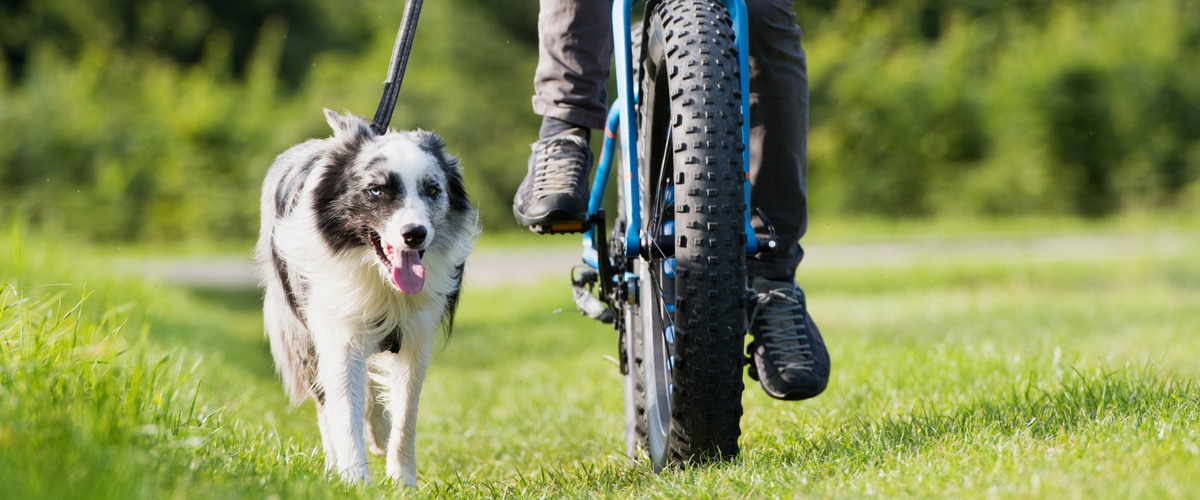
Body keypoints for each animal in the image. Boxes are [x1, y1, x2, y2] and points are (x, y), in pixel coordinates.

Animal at [254, 109, 477, 484]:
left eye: (432, 189)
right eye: (376, 190)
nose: (415, 234)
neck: (380, 278)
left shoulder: (415, 338)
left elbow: (406, 415)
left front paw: (403, 482)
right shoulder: (336, 331)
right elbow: (344, 410)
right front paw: (354, 480)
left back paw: (378, 432)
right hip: (300, 334)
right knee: (326, 404)